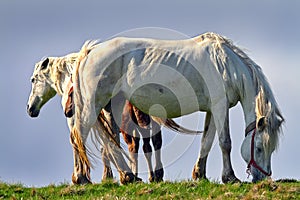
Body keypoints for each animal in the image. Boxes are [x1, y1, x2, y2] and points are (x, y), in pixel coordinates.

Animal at [69, 31, 284, 183]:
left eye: (271, 148)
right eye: (258, 148)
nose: (262, 178)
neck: (225, 65)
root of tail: (89, 52)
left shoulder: (213, 110)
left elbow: (206, 141)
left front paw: (199, 174)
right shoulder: (220, 107)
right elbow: (225, 142)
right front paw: (230, 177)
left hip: (112, 105)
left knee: (111, 140)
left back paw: (127, 177)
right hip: (92, 105)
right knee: (79, 135)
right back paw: (81, 178)